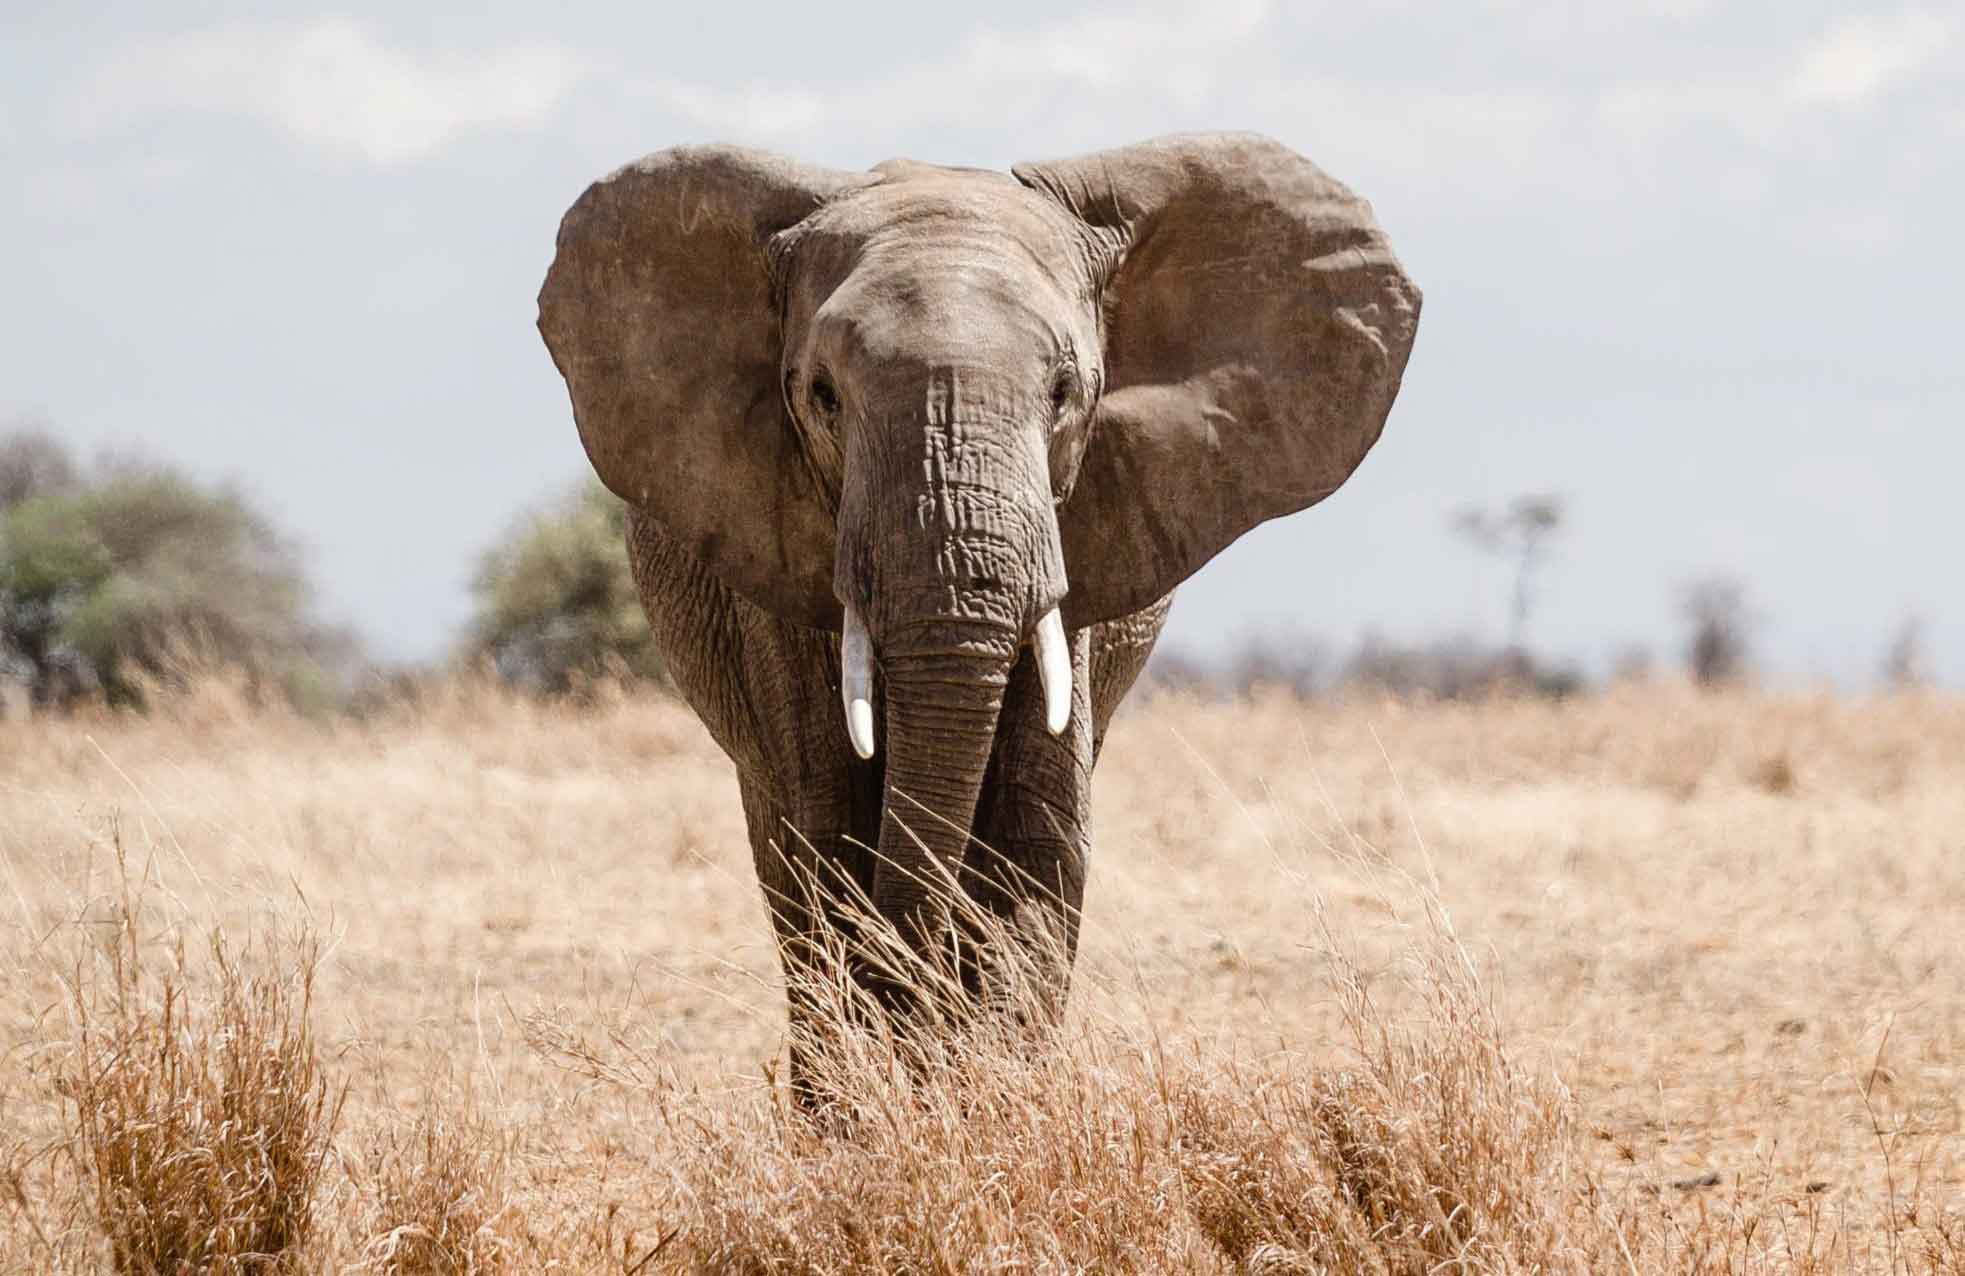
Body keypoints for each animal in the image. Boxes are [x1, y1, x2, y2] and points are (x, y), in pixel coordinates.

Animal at [536, 132, 1420, 1096]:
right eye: (822, 395)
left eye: (1065, 391)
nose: (908, 1004)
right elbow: (829, 821)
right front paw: (875, 1104)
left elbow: (1035, 833)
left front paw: (990, 1098)